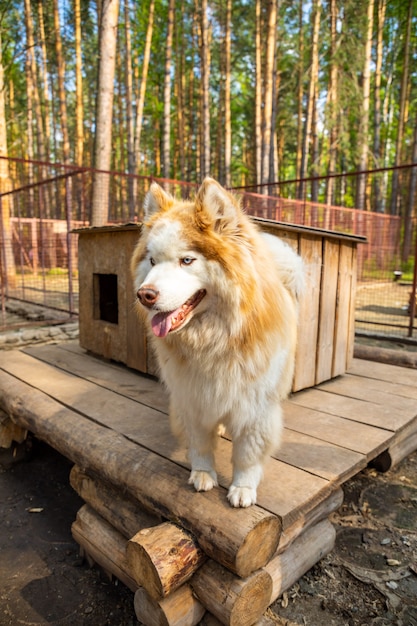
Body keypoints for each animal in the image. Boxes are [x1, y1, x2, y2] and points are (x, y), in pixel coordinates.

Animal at [132, 177, 304, 508]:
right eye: (152, 261)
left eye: (187, 260)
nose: (144, 295)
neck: (215, 339)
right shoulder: (193, 397)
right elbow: (200, 443)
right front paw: (203, 473)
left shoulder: (256, 407)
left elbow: (247, 454)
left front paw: (243, 487)